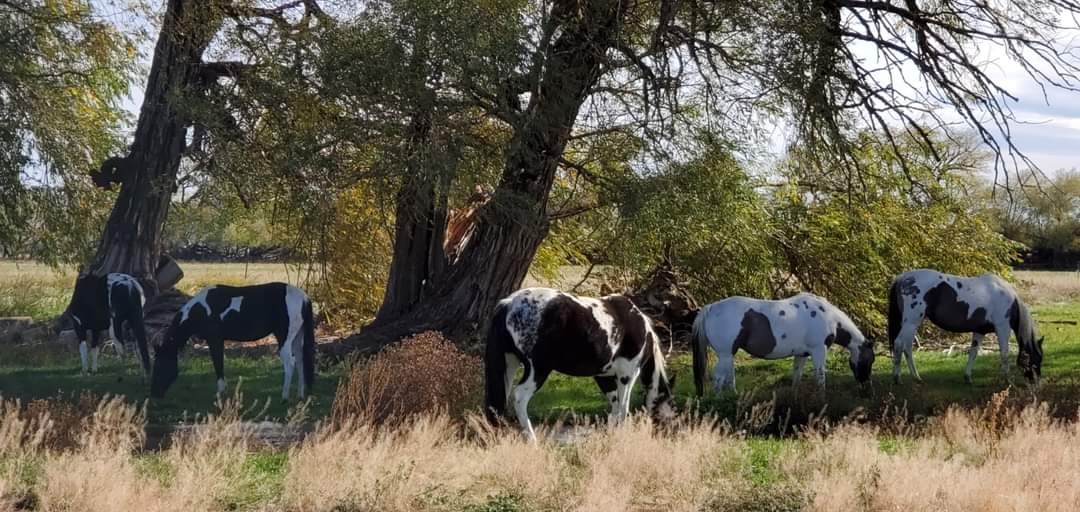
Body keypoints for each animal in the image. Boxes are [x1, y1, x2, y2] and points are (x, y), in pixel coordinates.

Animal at [150, 283, 315, 399]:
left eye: (159, 365)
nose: (154, 394)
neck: (201, 309)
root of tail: (304, 298)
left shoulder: (214, 340)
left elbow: (218, 364)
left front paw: (220, 393)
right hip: (297, 338)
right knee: (300, 362)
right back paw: (300, 395)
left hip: (284, 339)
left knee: (290, 363)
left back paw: (284, 397)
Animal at [488, 287, 678, 440]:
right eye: (672, 408)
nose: (669, 434)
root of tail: (508, 303)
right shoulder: (627, 375)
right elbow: (623, 409)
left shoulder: (604, 377)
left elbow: (615, 407)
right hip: (538, 369)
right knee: (519, 397)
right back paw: (532, 441)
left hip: (510, 364)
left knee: (501, 399)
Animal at [691, 291, 876, 395]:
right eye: (871, 360)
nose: (867, 386)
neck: (828, 316)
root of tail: (711, 308)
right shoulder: (819, 351)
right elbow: (820, 377)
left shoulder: (802, 354)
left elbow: (797, 377)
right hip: (725, 355)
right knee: (718, 379)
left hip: (729, 355)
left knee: (729, 379)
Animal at [889, 267, 1041, 384]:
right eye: (1037, 359)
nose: (1036, 382)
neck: (1009, 299)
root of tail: (903, 278)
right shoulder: (1002, 328)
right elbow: (1004, 353)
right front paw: (1006, 380)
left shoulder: (980, 331)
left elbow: (973, 353)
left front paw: (968, 377)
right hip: (911, 323)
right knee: (899, 344)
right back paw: (897, 379)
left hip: (910, 324)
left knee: (907, 347)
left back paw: (916, 378)